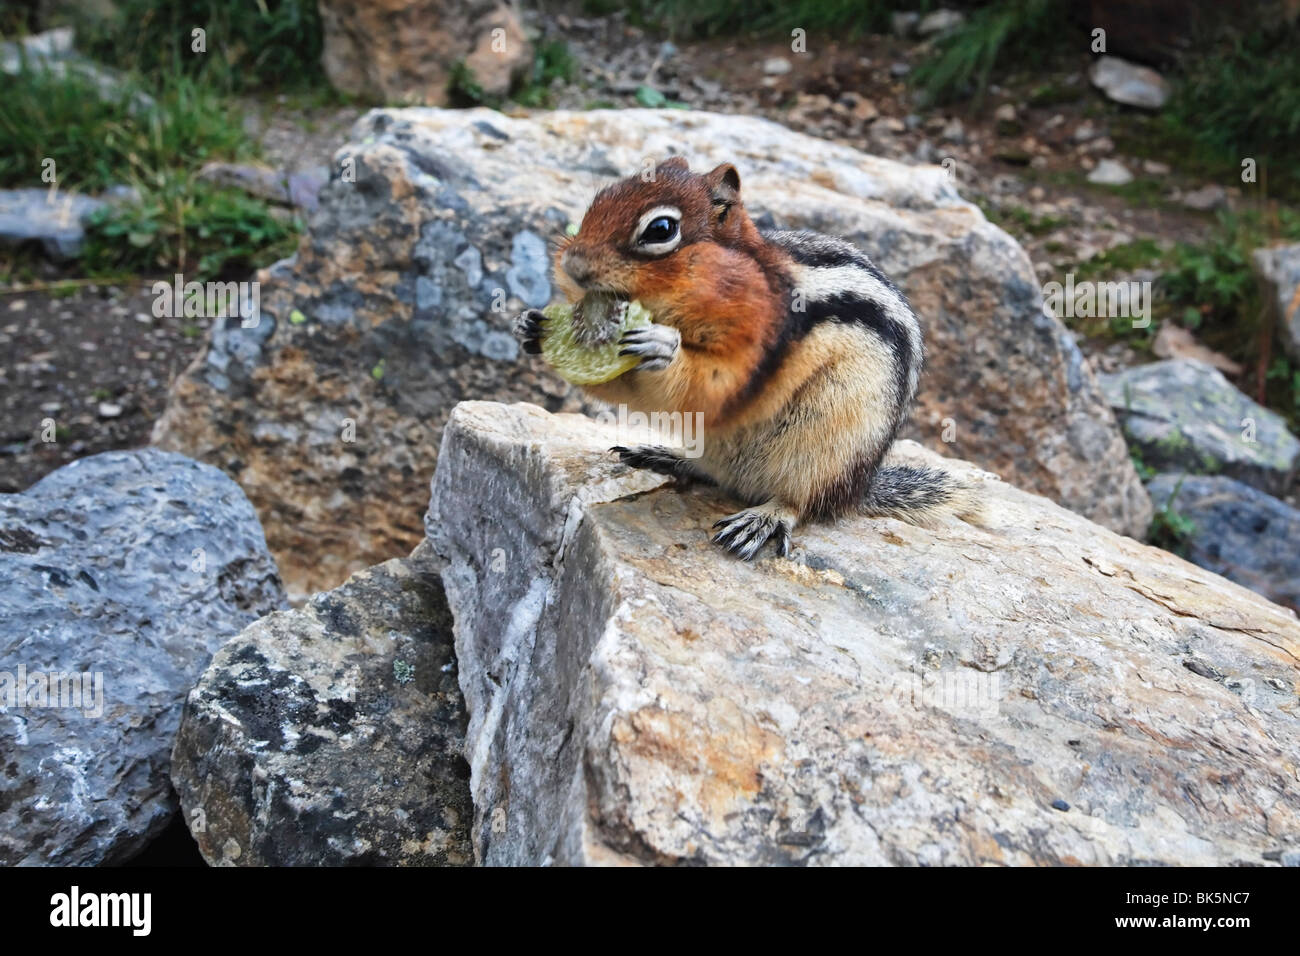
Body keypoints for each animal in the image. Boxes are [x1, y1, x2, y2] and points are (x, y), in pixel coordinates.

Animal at [512, 158, 977, 561]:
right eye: (600, 198)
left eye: (661, 229)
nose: (572, 266)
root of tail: (860, 489)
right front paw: (531, 326)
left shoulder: (759, 343)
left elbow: (715, 384)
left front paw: (665, 348)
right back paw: (668, 457)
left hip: (828, 452)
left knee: (804, 502)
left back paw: (763, 519)